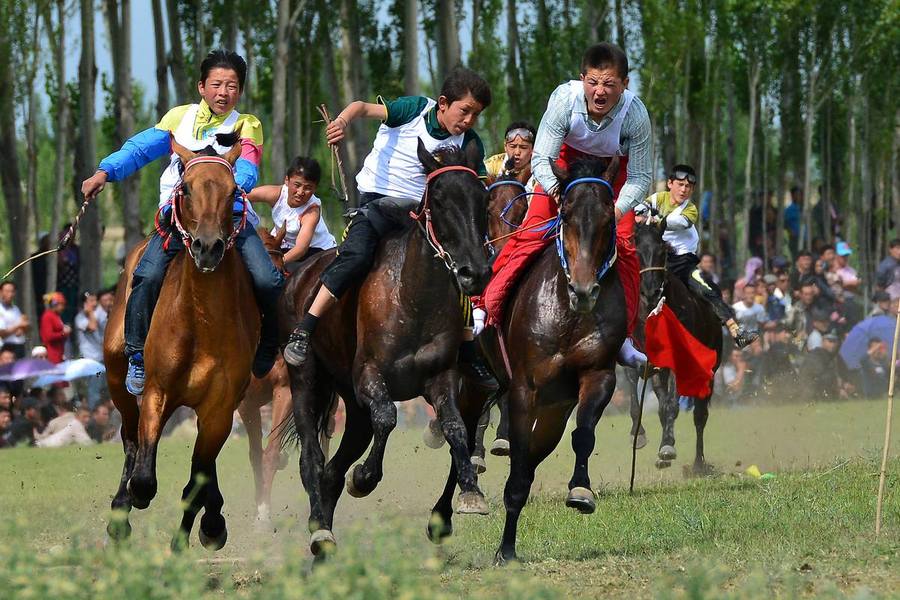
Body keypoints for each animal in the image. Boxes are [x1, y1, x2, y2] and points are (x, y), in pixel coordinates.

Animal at [107, 138, 260, 552]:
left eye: (233, 192)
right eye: (187, 188)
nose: (208, 247)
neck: (201, 322)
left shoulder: (219, 407)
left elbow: (197, 482)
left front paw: (204, 530)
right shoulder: (157, 392)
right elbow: (145, 477)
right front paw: (135, 497)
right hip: (116, 376)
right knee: (129, 437)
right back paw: (119, 512)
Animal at [282, 141, 492, 552]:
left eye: (482, 198)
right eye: (438, 199)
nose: (474, 272)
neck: (412, 296)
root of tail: (301, 274)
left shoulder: (439, 377)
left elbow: (455, 427)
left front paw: (471, 493)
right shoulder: (369, 376)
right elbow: (387, 417)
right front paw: (363, 478)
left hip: (350, 403)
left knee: (334, 466)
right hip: (307, 382)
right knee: (312, 458)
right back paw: (319, 528)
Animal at [486, 156, 624, 564]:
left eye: (609, 217)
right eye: (566, 213)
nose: (584, 290)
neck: (567, 315)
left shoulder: (596, 375)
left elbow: (584, 433)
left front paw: (580, 491)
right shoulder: (523, 388)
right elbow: (517, 462)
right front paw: (505, 550)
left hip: (553, 410)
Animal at [632, 223, 724, 476]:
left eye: (662, 251)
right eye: (636, 251)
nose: (651, 292)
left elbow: (674, 405)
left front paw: (667, 449)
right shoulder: (651, 363)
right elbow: (662, 406)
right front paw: (662, 445)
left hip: (710, 369)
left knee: (700, 415)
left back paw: (699, 464)